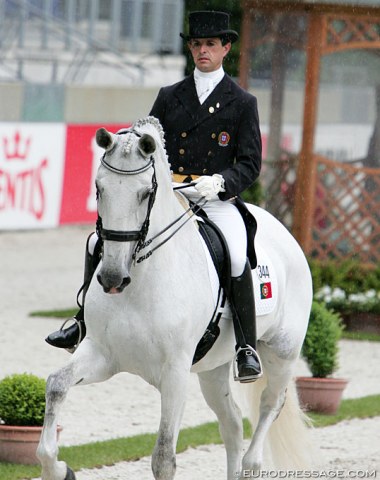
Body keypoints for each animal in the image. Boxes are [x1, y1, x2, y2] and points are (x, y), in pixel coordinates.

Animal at [37, 116, 314, 480]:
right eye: (98, 188)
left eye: (145, 193)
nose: (112, 278)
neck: (139, 284)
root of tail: (284, 233)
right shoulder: (102, 354)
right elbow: (56, 385)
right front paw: (59, 469)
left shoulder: (175, 374)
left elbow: (164, 458)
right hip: (213, 368)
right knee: (232, 424)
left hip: (281, 352)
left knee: (270, 405)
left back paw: (252, 461)